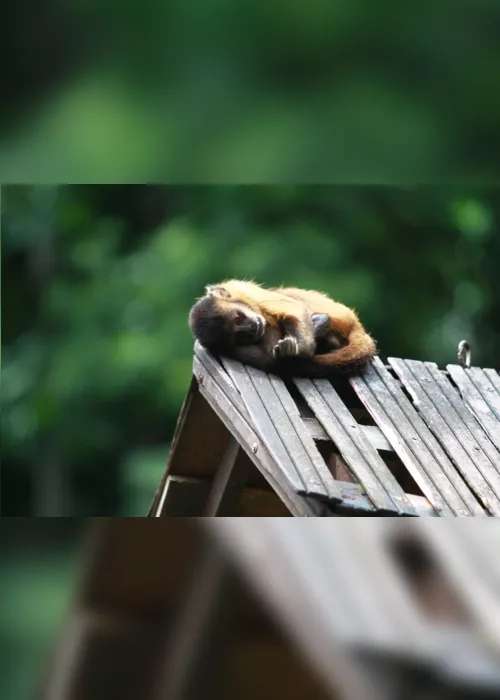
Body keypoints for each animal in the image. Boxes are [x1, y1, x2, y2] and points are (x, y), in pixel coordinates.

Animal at [189, 278, 376, 378]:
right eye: (236, 336)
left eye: (237, 317)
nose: (251, 328)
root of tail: (356, 325)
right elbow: (268, 360)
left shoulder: (244, 290)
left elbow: (294, 310)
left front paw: (301, 349)